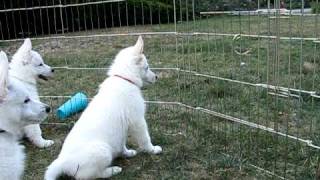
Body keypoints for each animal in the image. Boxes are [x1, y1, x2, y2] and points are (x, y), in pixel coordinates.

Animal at [45, 35, 162, 179]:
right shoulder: (137, 121)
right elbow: (145, 138)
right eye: (147, 67)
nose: (156, 77)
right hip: (102, 151)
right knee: (91, 175)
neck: (124, 78)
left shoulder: (123, 128)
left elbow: (122, 143)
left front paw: (127, 153)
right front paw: (153, 150)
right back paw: (113, 170)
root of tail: (62, 162)